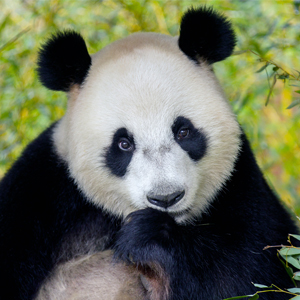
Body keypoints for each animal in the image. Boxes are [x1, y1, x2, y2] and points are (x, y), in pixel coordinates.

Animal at [0, 6, 296, 300]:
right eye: (123, 144)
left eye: (183, 132)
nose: (166, 198)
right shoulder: (40, 193)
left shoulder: (241, 184)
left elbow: (252, 273)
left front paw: (148, 236)